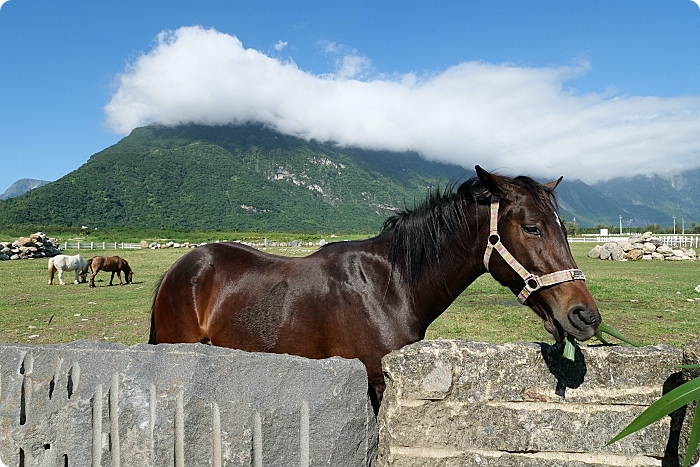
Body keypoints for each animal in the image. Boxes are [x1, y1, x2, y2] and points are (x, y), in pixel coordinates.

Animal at [149, 166, 600, 412]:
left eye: (564, 229)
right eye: (532, 227)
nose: (585, 315)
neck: (390, 286)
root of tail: (179, 269)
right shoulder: (378, 383)